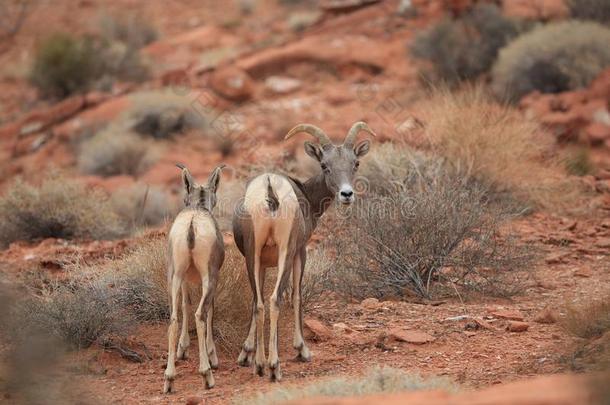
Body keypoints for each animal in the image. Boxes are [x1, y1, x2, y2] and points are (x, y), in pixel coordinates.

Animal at [233, 120, 376, 378]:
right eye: (324, 165)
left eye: (356, 163)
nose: (346, 194)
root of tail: (270, 191)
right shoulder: (301, 252)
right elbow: (297, 295)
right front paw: (302, 350)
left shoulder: (260, 262)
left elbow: (255, 302)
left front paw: (246, 354)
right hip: (286, 254)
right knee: (275, 299)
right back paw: (274, 367)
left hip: (252, 255)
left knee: (260, 302)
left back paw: (260, 365)